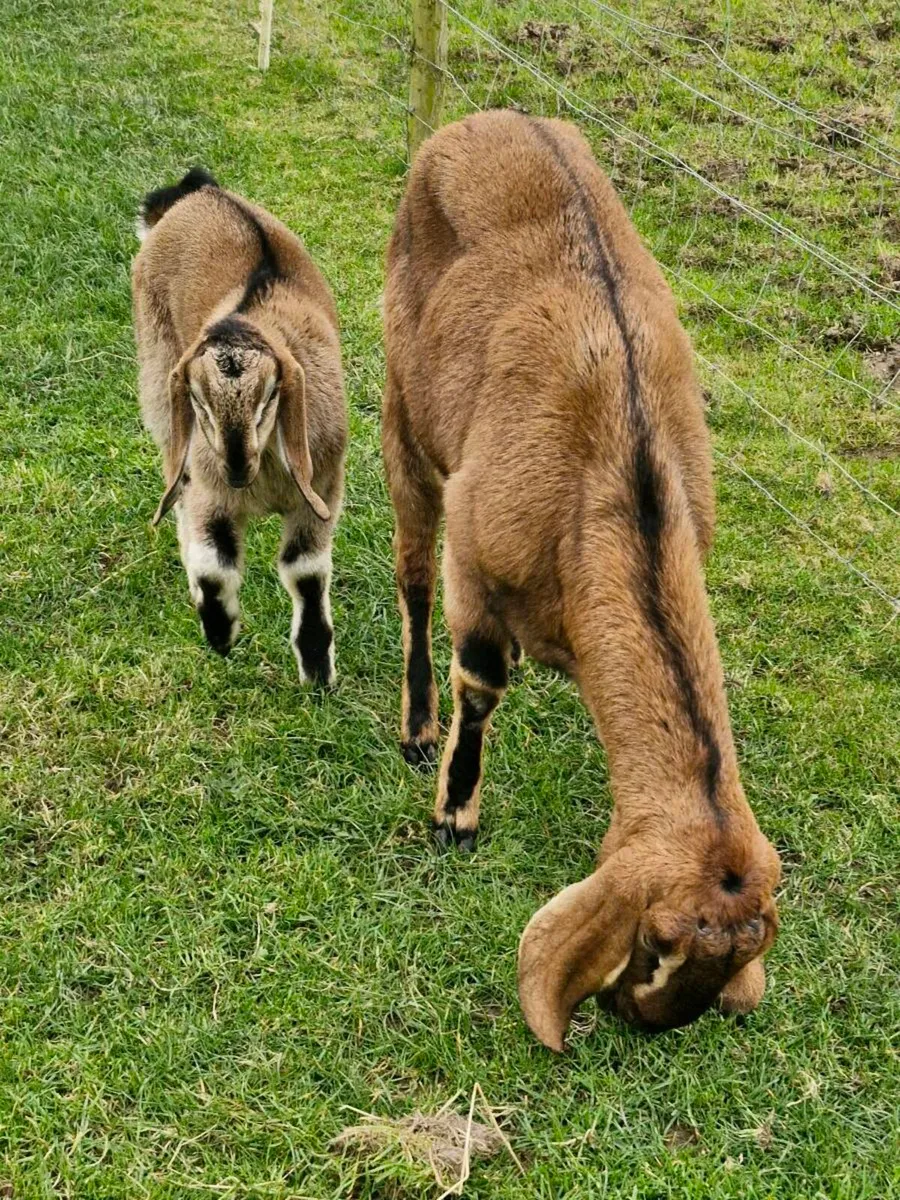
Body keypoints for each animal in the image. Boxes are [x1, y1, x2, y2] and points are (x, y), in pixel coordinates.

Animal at [132, 169, 347, 682]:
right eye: (198, 400)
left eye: (270, 396)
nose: (234, 469)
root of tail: (198, 192)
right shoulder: (211, 493)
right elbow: (214, 567)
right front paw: (220, 633)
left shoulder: (321, 489)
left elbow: (305, 572)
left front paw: (317, 668)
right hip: (158, 387)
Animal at [382, 111, 780, 1048]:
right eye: (658, 940)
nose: (637, 1015)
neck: (620, 468)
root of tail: (481, 119)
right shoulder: (477, 548)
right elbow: (479, 681)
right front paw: (454, 817)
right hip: (402, 403)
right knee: (411, 573)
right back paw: (418, 726)